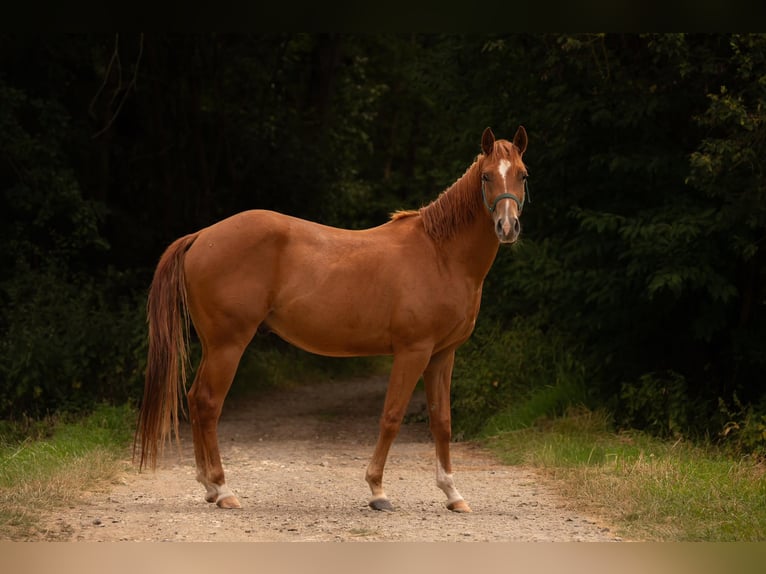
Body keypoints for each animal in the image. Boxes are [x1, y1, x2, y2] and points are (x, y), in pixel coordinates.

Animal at [134, 126, 529, 513]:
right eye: (486, 175)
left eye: (522, 174)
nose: (507, 226)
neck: (440, 254)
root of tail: (202, 236)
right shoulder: (412, 352)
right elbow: (391, 416)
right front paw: (377, 490)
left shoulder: (442, 355)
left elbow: (442, 421)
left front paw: (452, 493)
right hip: (228, 345)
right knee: (207, 402)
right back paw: (222, 489)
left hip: (213, 346)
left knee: (194, 399)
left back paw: (208, 486)